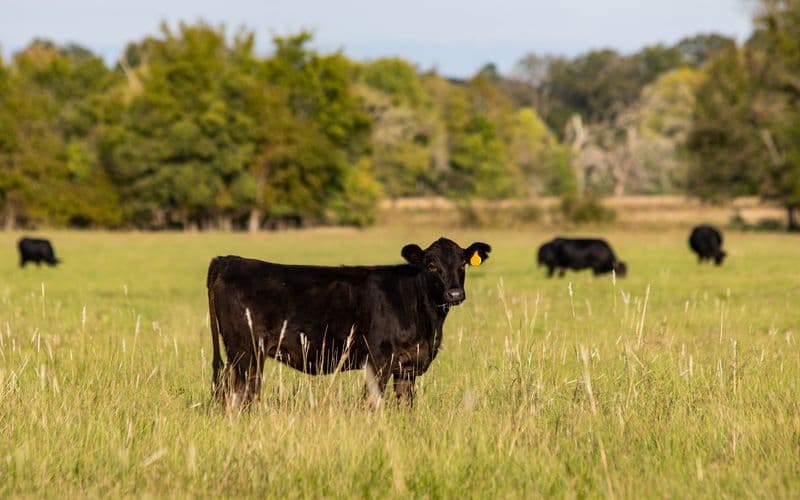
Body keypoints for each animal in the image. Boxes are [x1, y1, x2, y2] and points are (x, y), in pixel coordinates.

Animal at [207, 237, 491, 409]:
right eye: (431, 264)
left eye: (463, 263)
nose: (454, 294)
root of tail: (228, 259)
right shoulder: (378, 360)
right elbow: (371, 403)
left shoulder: (408, 366)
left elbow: (405, 404)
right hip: (246, 352)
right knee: (241, 396)